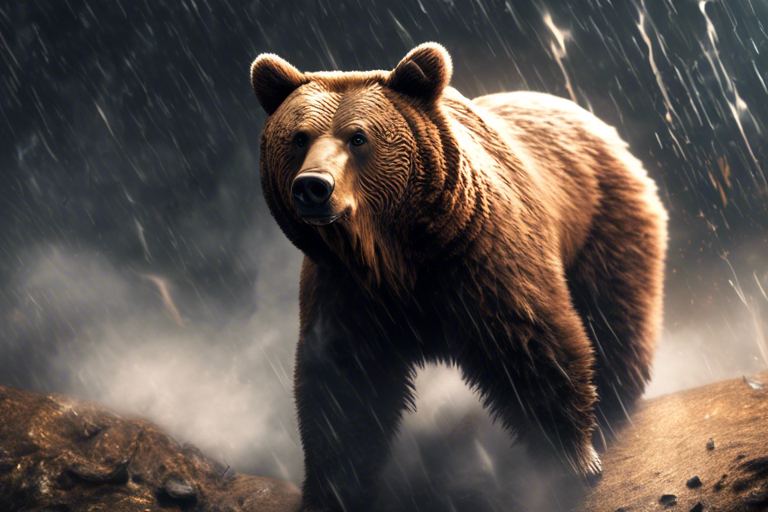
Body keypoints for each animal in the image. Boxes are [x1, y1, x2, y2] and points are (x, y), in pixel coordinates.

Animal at [250, 43, 667, 511]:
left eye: (358, 137)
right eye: (298, 137)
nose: (313, 186)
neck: (398, 255)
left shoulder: (480, 258)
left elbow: (535, 344)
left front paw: (572, 463)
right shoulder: (347, 292)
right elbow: (345, 388)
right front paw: (331, 492)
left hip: (603, 219)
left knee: (614, 311)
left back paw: (615, 401)